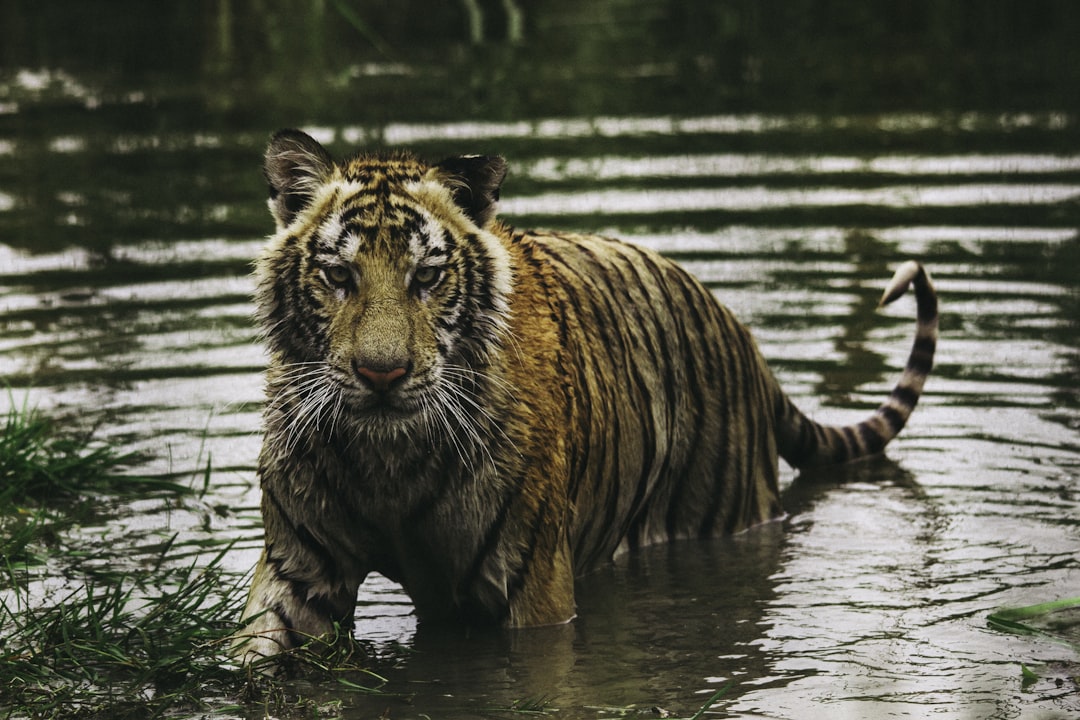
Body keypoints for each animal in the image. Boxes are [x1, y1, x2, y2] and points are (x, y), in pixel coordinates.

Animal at [232, 128, 937, 664]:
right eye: (338, 275)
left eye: (427, 277)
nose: (383, 374)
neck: (388, 462)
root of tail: (745, 339)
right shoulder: (299, 570)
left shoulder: (531, 586)